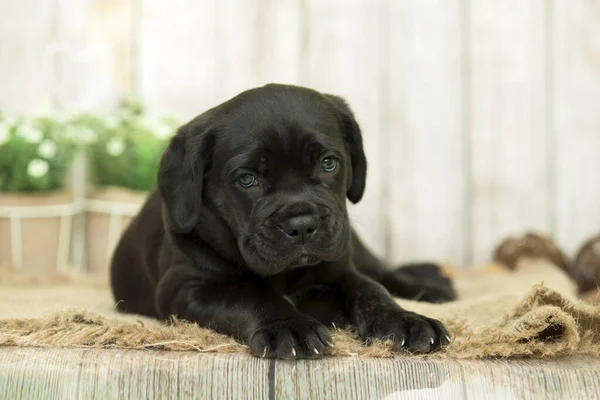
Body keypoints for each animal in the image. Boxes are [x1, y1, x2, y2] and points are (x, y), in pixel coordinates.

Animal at [111, 84, 454, 360]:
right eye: (247, 179)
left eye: (328, 163)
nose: (301, 223)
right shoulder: (187, 287)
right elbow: (249, 297)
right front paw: (289, 326)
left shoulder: (338, 269)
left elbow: (370, 290)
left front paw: (403, 319)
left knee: (383, 272)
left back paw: (431, 287)